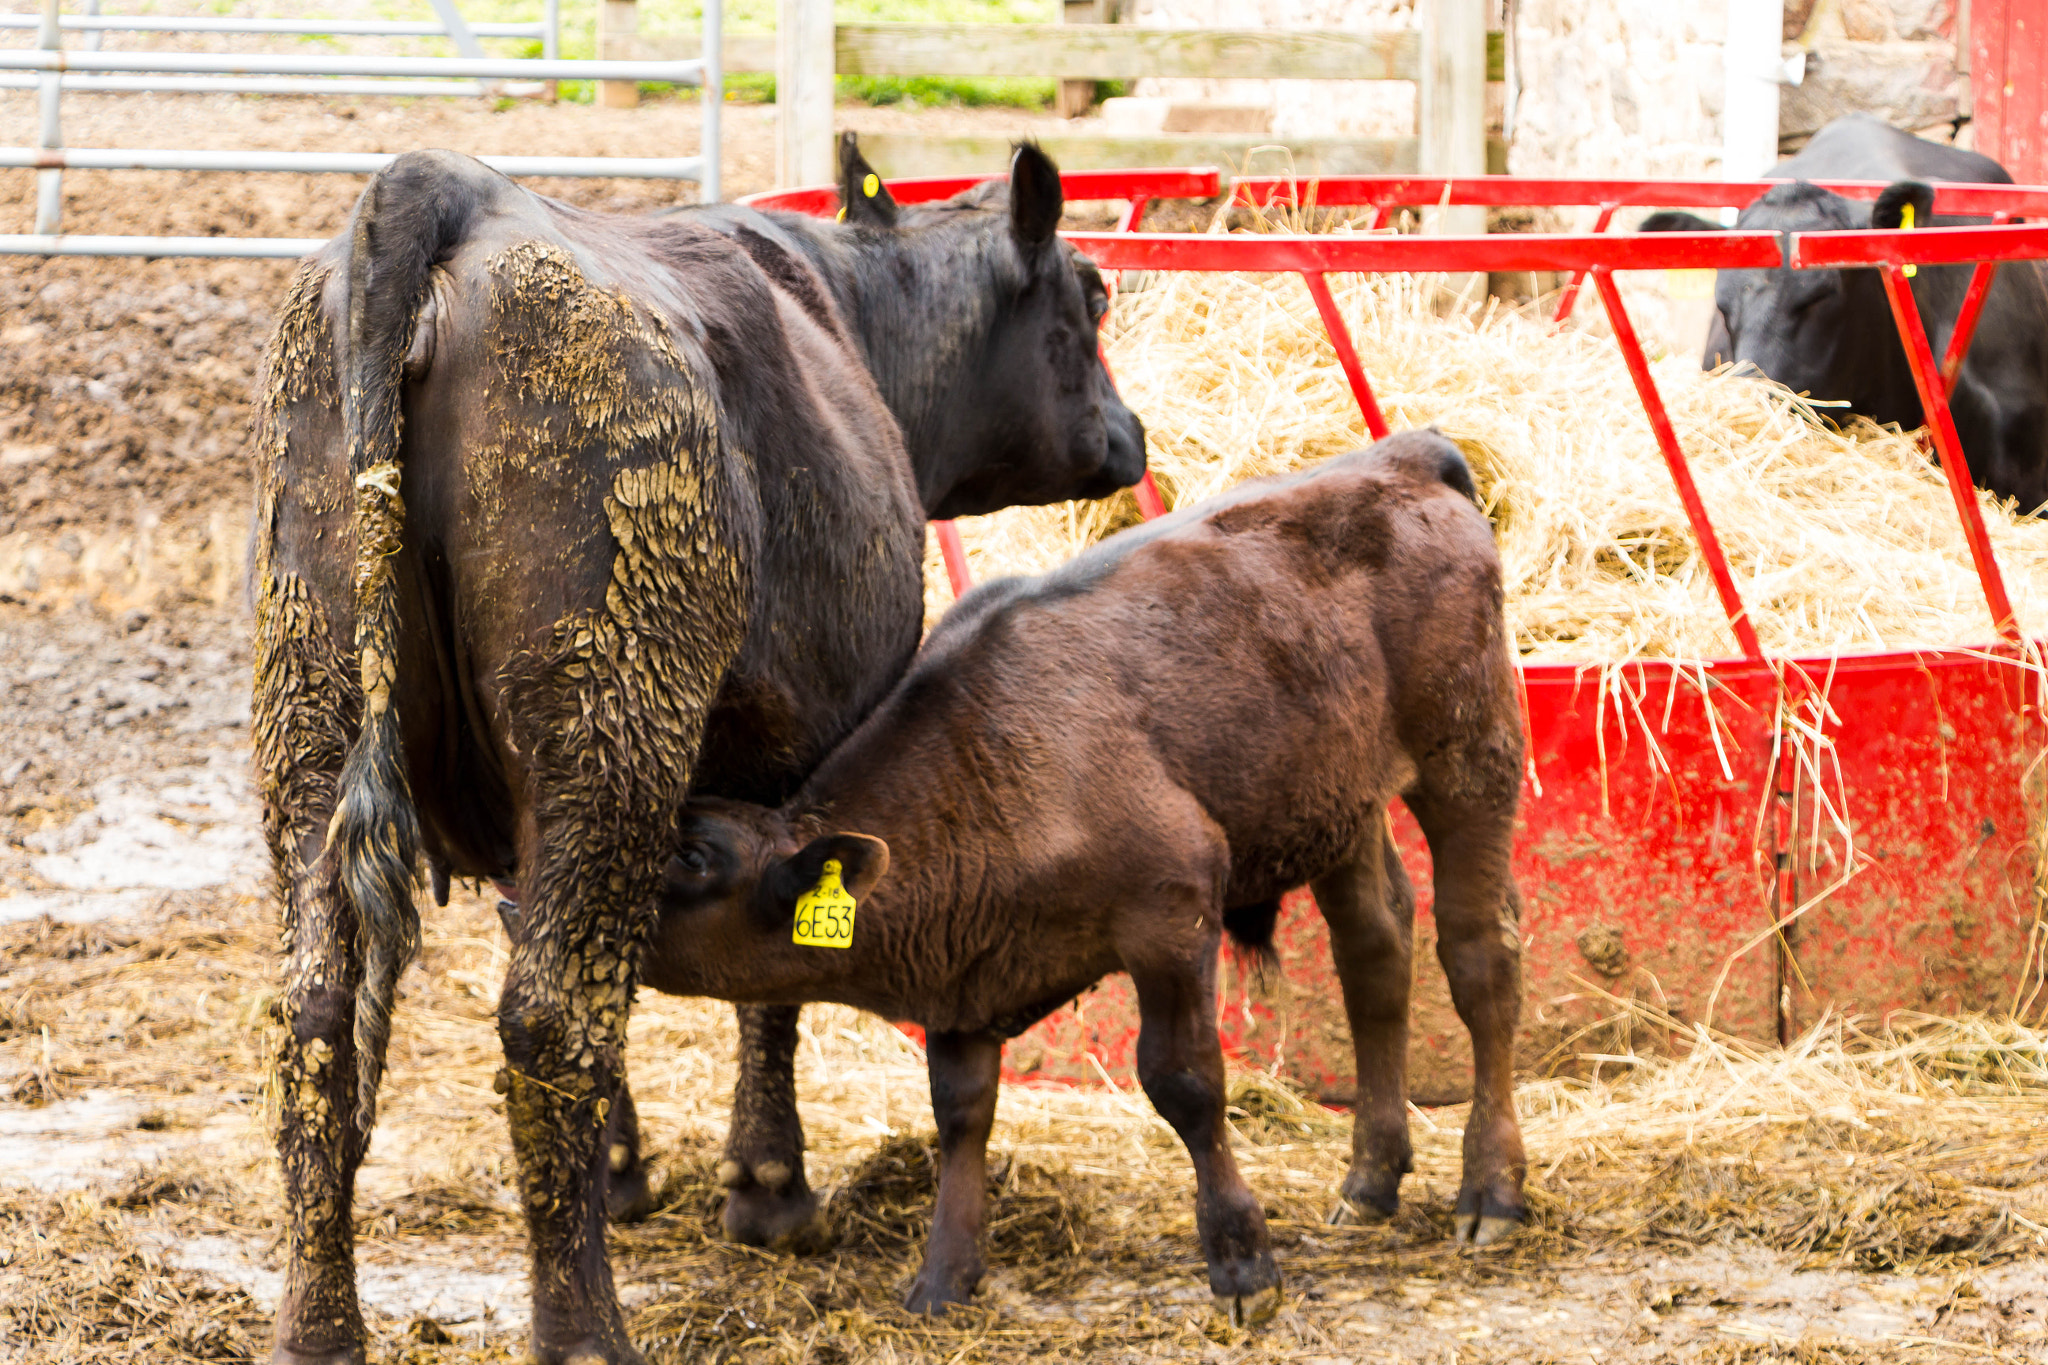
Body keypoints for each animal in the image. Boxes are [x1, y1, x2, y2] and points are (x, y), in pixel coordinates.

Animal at [253, 135, 1144, 1365]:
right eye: (1093, 293)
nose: (1130, 435)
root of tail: (442, 185)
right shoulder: (805, 759)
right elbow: (774, 978)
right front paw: (769, 1187)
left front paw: (624, 1172)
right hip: (609, 719)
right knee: (548, 1018)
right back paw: (585, 1331)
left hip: (316, 713)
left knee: (322, 1020)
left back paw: (320, 1328)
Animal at [641, 430, 1530, 1324]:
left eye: (694, 858)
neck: (989, 754)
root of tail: (1403, 457)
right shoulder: (964, 973)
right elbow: (960, 1109)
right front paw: (943, 1276)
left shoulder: (1172, 905)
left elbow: (1184, 1079)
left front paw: (1243, 1263)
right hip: (1339, 801)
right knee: (1376, 953)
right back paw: (1371, 1179)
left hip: (1469, 756)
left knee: (1480, 958)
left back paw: (1491, 1190)